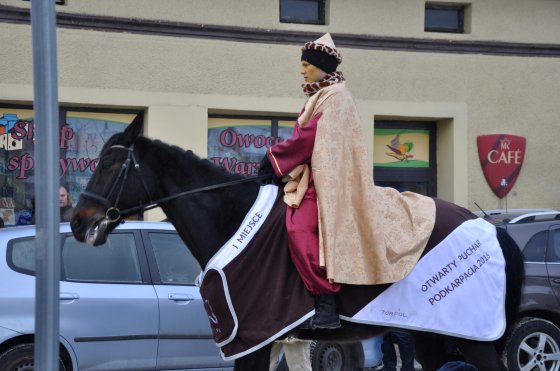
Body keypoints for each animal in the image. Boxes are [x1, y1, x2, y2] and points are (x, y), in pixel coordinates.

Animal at [71, 114, 524, 371]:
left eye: (108, 163)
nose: (78, 222)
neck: (230, 216)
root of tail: (492, 228)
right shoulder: (277, 343)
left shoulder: (252, 344)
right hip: (434, 337)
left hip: (475, 342)